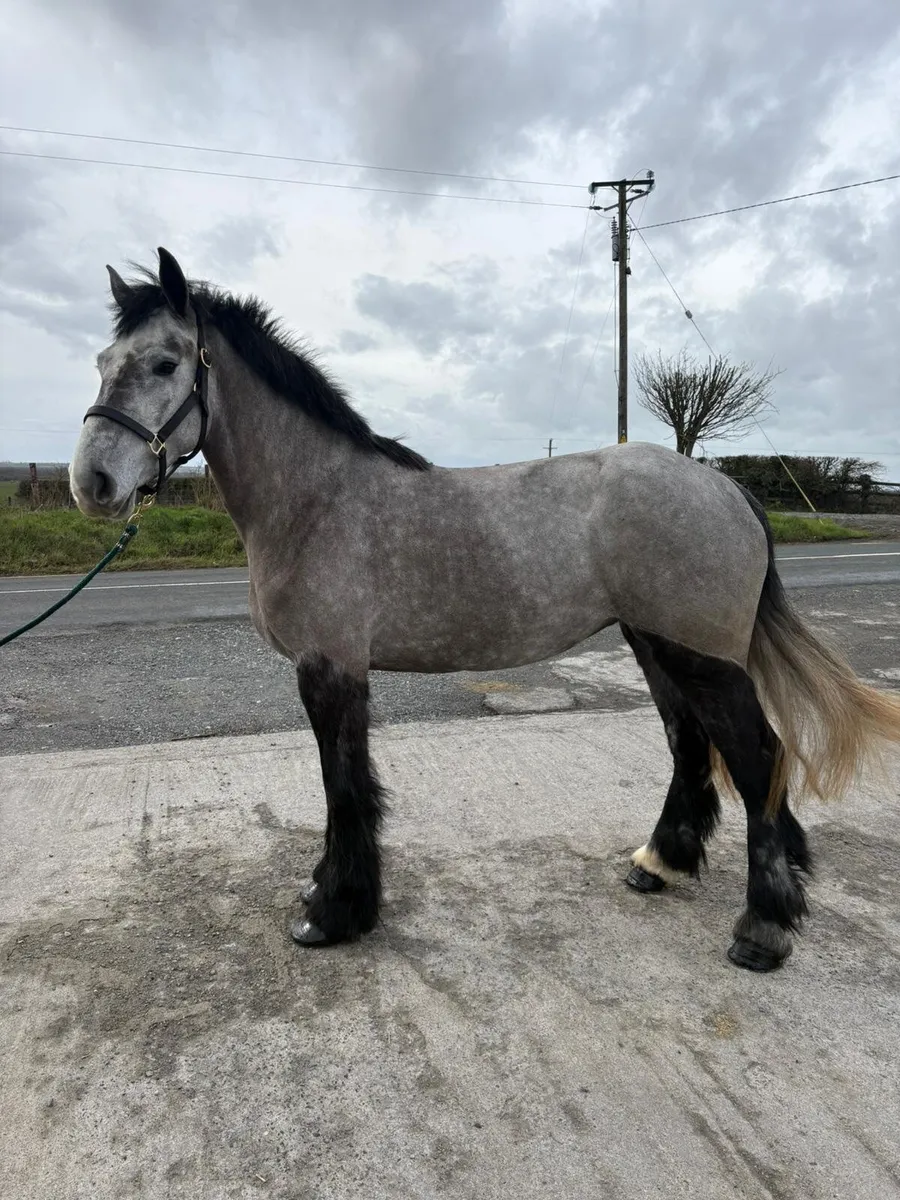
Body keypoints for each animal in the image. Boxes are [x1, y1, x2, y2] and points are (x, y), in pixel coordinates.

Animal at [70, 247, 900, 972]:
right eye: (103, 363)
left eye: (166, 363)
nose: (93, 484)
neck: (318, 501)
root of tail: (727, 489)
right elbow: (346, 786)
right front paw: (332, 896)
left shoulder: (330, 668)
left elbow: (345, 787)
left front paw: (333, 912)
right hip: (655, 643)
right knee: (690, 743)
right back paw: (660, 863)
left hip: (701, 655)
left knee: (757, 758)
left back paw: (762, 927)